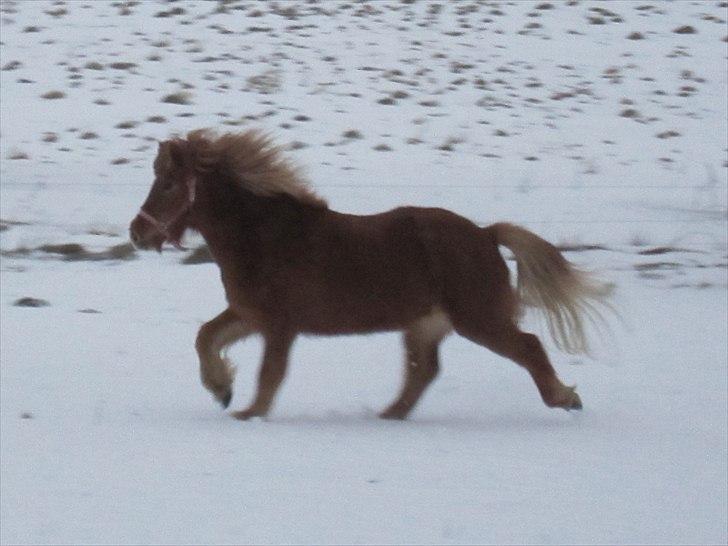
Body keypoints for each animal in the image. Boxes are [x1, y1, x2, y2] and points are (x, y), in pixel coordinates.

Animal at [128, 129, 612, 420]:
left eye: (168, 184)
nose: (136, 233)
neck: (263, 234)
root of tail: (486, 234)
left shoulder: (279, 326)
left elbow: (270, 376)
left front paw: (247, 413)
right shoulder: (250, 314)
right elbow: (206, 337)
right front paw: (221, 389)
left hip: (479, 318)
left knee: (528, 347)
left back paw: (564, 398)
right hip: (424, 324)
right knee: (423, 371)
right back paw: (388, 416)